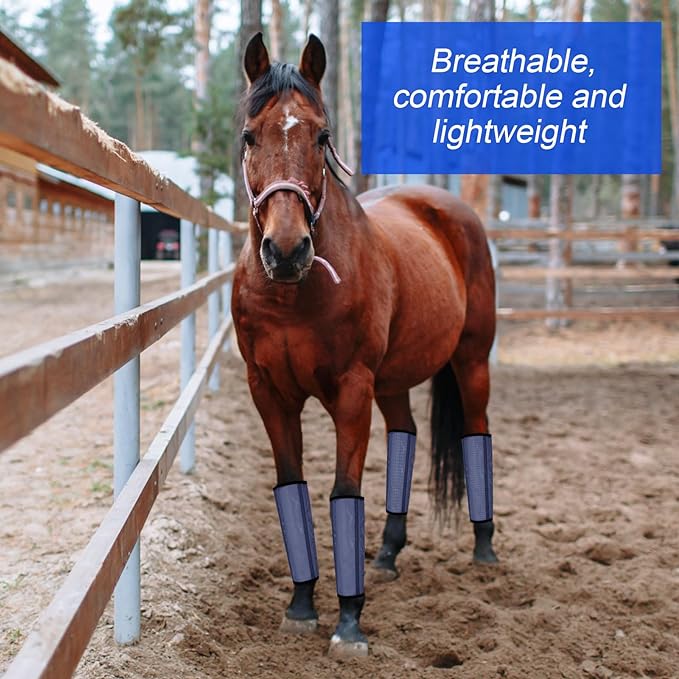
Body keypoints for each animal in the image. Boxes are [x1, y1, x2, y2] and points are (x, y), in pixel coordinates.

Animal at [232, 33, 498, 658]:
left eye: (321, 135)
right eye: (250, 135)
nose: (286, 250)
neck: (293, 294)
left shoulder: (351, 391)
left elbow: (343, 492)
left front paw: (349, 622)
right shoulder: (269, 393)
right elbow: (292, 487)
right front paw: (301, 605)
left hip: (472, 361)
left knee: (476, 433)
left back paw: (483, 547)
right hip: (394, 381)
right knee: (405, 434)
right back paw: (388, 553)